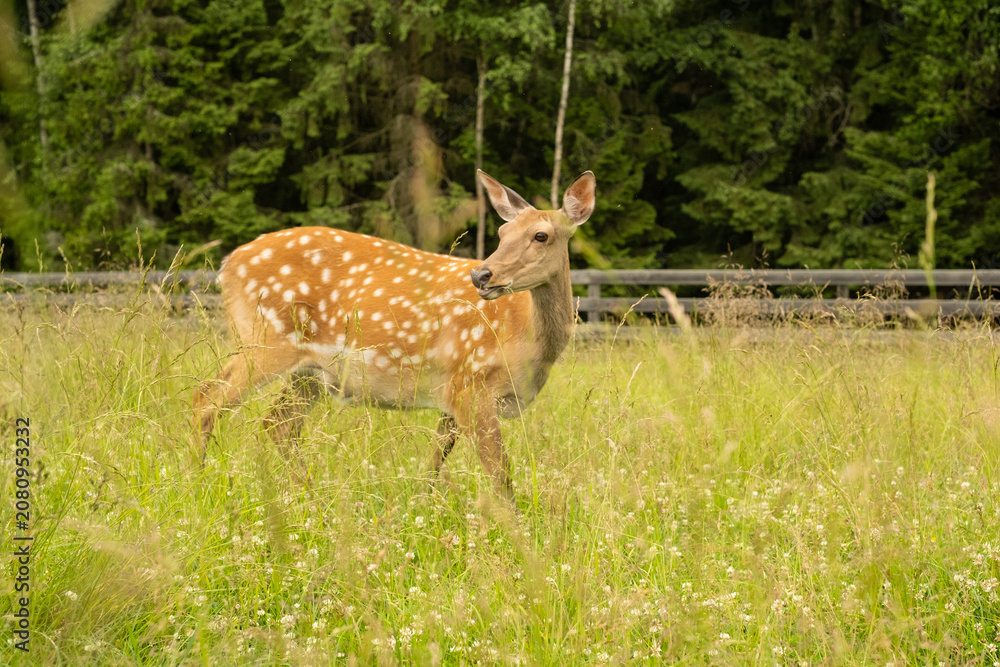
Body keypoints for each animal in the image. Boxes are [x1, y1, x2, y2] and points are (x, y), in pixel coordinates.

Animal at [193, 170, 596, 499]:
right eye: (501, 232)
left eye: (541, 235)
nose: (482, 275)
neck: (525, 338)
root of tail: (227, 264)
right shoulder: (471, 382)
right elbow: (501, 477)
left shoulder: (454, 393)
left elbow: (436, 460)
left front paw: (425, 503)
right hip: (265, 339)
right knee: (207, 398)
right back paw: (199, 481)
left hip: (310, 370)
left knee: (277, 425)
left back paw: (311, 495)